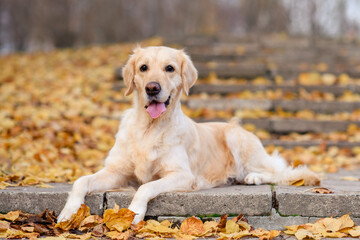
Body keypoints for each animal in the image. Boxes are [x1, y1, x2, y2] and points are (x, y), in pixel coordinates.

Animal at [58, 46, 320, 224]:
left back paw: (253, 177)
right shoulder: (116, 171)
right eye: (143, 68)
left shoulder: (182, 175)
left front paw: (133, 213)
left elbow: (146, 187)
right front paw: (68, 212)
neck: (149, 128)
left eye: (170, 68)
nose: (152, 88)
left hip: (238, 140)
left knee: (278, 171)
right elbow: (81, 181)